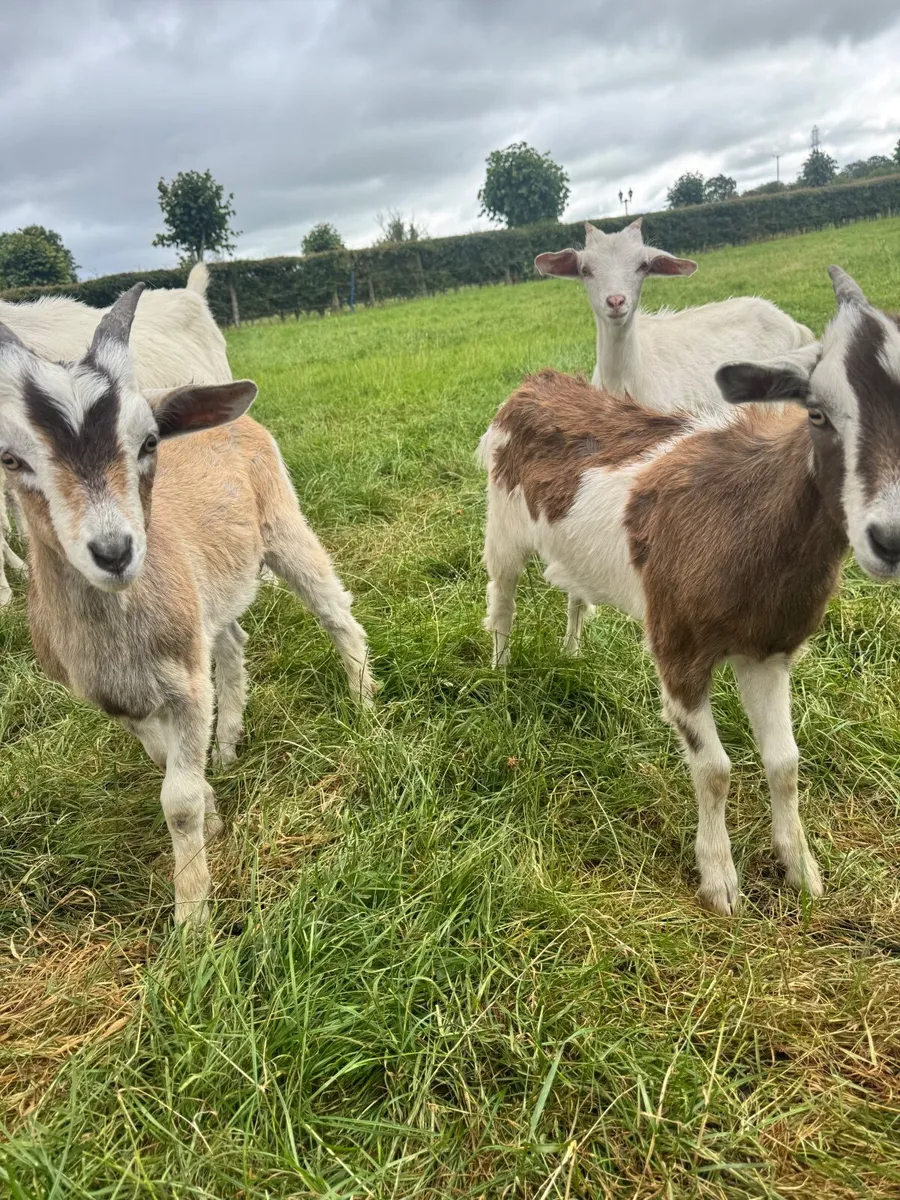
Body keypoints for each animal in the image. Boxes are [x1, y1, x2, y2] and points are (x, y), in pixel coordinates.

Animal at [479, 265, 899, 915]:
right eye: (816, 413)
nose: (891, 537)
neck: (748, 514)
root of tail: (535, 384)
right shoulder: (678, 650)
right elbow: (716, 770)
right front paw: (720, 883)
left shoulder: (768, 650)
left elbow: (785, 763)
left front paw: (801, 871)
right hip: (503, 523)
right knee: (502, 599)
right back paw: (500, 673)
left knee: (574, 593)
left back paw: (572, 653)